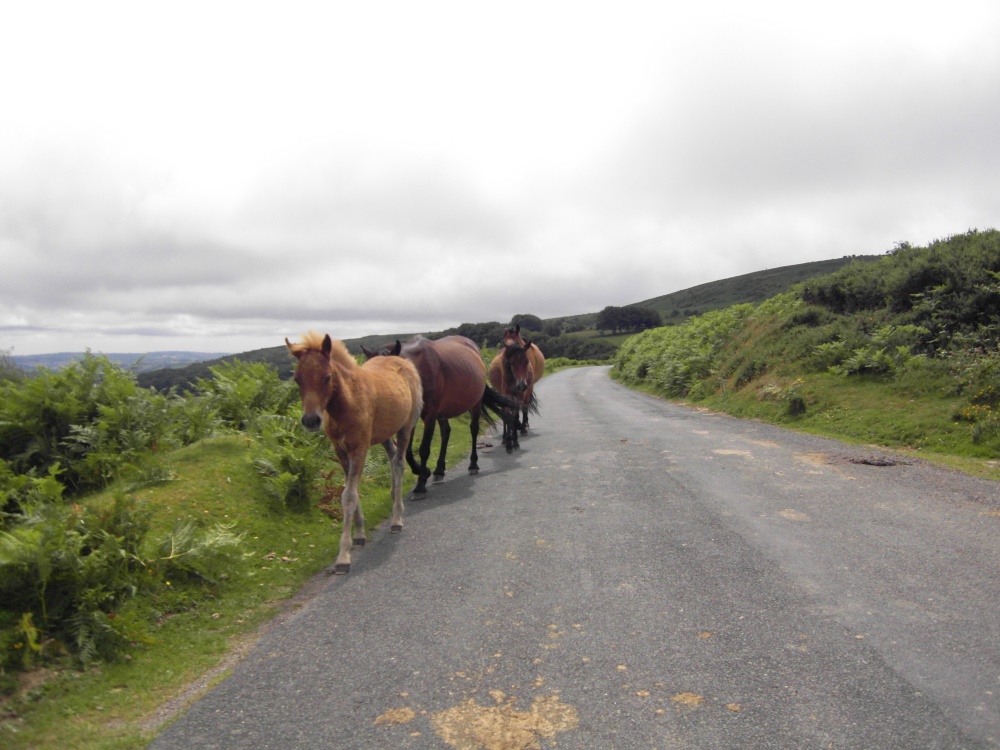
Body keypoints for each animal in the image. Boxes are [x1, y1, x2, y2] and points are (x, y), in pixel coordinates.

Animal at [286, 332, 422, 574]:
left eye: (327, 377)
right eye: (297, 379)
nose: (311, 420)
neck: (347, 404)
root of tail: (402, 361)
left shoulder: (360, 447)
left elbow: (348, 495)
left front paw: (343, 556)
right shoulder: (341, 450)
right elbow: (351, 491)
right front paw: (359, 535)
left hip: (405, 427)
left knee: (399, 463)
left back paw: (397, 519)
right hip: (384, 434)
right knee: (393, 457)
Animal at [361, 335, 517, 494]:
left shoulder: (430, 415)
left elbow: (424, 449)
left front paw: (420, 484)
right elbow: (407, 450)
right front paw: (423, 471)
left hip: (475, 404)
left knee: (473, 430)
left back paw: (473, 464)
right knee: (446, 432)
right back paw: (439, 469)